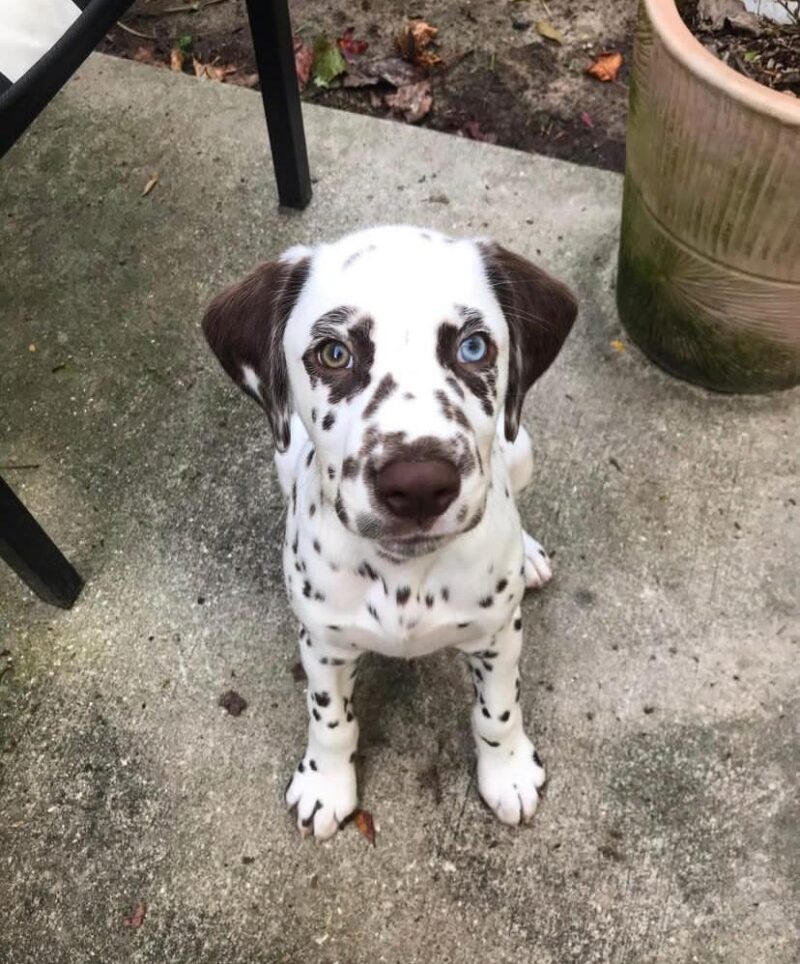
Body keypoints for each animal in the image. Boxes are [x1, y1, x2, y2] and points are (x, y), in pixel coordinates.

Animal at [200, 224, 576, 836]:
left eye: (474, 347)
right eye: (334, 354)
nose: (420, 485)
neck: (405, 573)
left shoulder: (499, 637)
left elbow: (497, 712)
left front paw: (509, 773)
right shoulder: (322, 644)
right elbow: (330, 722)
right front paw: (325, 785)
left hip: (521, 445)